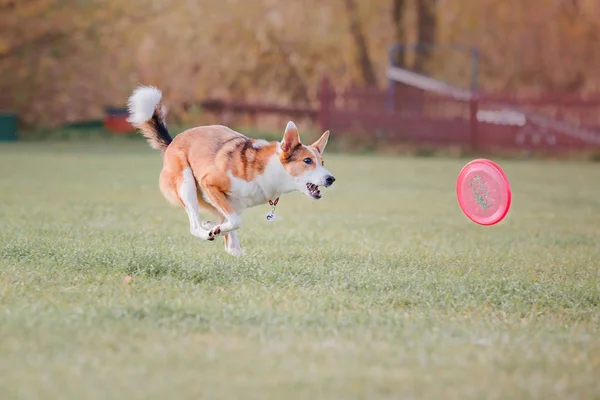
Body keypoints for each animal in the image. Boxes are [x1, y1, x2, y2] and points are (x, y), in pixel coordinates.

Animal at [126, 86, 336, 258]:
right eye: (307, 161)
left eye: (322, 162)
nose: (331, 179)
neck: (269, 169)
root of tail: (172, 142)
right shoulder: (209, 183)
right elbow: (235, 221)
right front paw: (213, 230)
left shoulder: (230, 203)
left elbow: (231, 223)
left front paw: (217, 229)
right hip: (187, 184)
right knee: (195, 225)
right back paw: (207, 232)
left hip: (225, 202)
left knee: (225, 234)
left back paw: (226, 241)